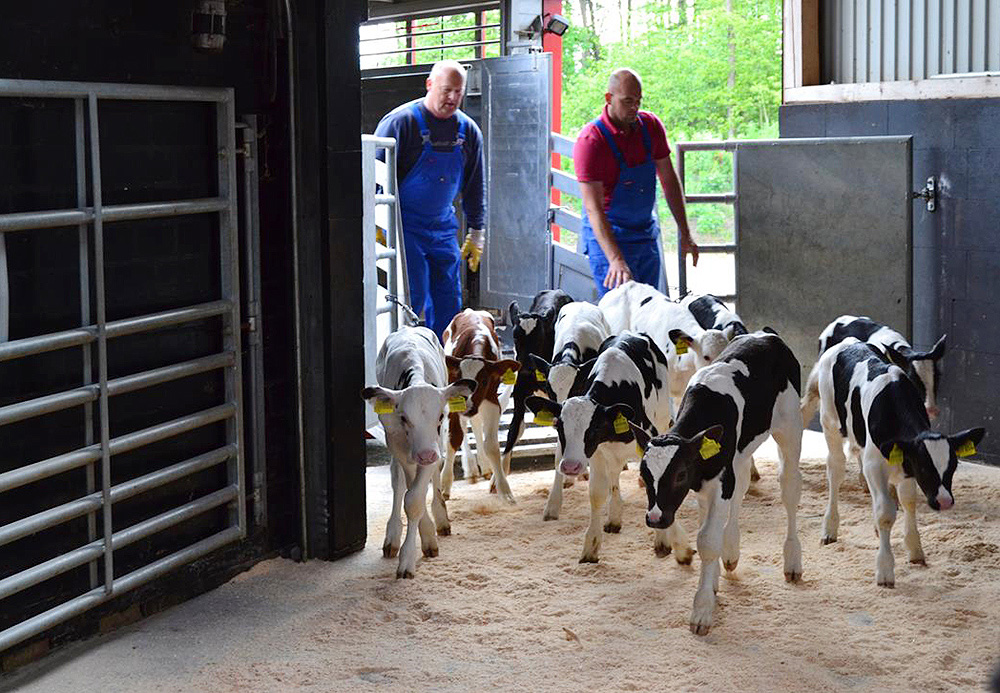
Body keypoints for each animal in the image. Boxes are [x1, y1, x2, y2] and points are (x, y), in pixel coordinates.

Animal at [446, 308, 524, 502]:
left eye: (484, 381)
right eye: (459, 378)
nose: (467, 406)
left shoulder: (491, 400)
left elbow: (492, 446)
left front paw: (504, 491)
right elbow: (455, 437)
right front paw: (444, 485)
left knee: (474, 423)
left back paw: (484, 467)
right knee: (464, 428)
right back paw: (471, 469)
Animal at [528, 332, 692, 564]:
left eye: (594, 427)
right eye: (560, 425)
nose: (570, 466)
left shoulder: (649, 439)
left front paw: (669, 543)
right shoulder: (596, 452)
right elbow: (597, 493)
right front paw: (591, 546)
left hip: (661, 417)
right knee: (613, 474)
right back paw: (614, 517)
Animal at [632, 330, 804, 632]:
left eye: (680, 474)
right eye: (644, 474)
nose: (654, 518)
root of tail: (766, 334)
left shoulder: (719, 480)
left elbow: (708, 540)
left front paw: (701, 610)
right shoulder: (712, 480)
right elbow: (707, 528)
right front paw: (711, 585)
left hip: (790, 427)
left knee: (790, 488)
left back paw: (793, 561)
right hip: (741, 453)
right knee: (742, 486)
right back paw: (731, 551)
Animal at [808, 338, 980, 588]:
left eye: (953, 467)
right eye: (924, 467)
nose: (945, 501)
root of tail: (848, 342)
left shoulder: (904, 465)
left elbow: (907, 501)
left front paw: (915, 550)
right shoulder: (875, 464)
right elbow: (886, 512)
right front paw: (885, 570)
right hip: (829, 422)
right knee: (836, 469)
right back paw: (830, 528)